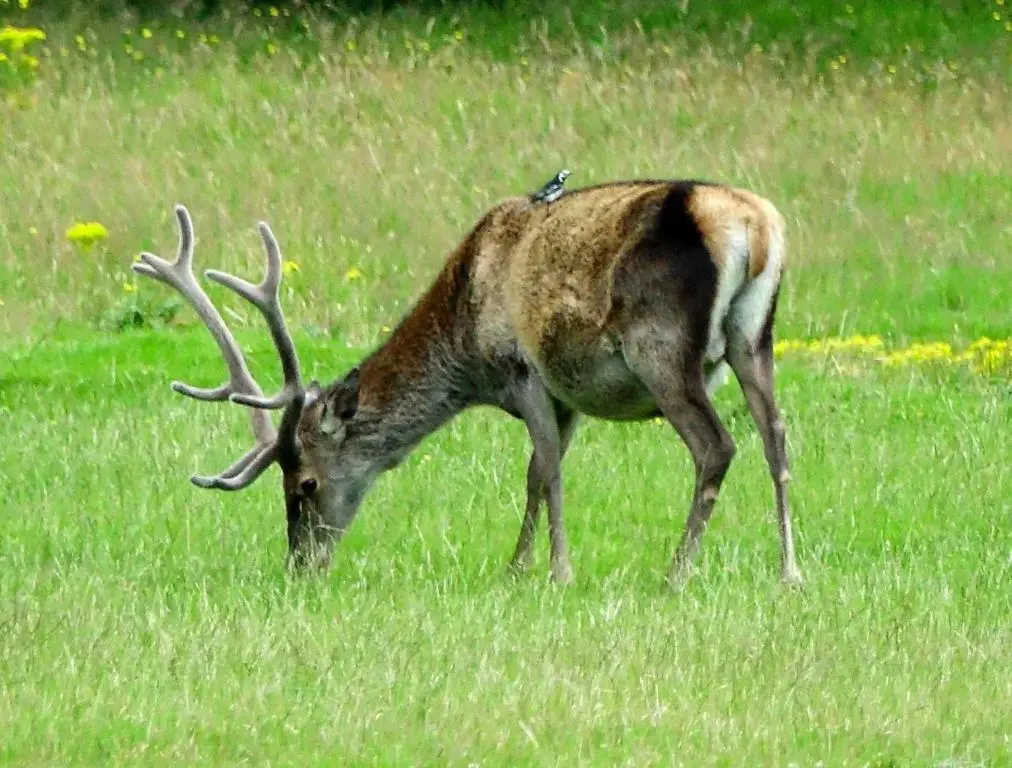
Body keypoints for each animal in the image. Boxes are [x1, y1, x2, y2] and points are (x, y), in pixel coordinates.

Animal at [132, 178, 802, 589]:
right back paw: (789, 571)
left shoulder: (523, 370)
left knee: (716, 446)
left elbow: (547, 469)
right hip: (754, 336)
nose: (301, 565)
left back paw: (676, 574)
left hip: (659, 345)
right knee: (775, 435)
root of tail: (755, 226)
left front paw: (557, 572)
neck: (465, 348)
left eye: (306, 483)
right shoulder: (566, 392)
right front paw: (517, 568)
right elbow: (537, 473)